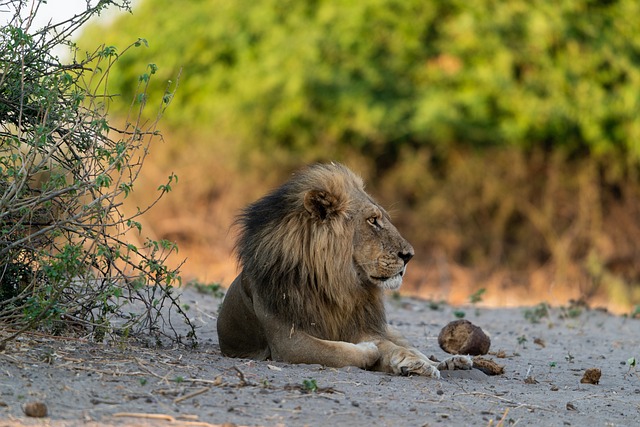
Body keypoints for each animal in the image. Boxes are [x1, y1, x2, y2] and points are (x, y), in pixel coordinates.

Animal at [218, 161, 472, 378]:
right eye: (373, 221)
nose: (409, 256)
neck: (335, 282)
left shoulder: (363, 325)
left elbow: (390, 346)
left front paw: (413, 362)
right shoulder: (287, 341)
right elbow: (338, 351)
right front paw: (374, 352)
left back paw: (452, 362)